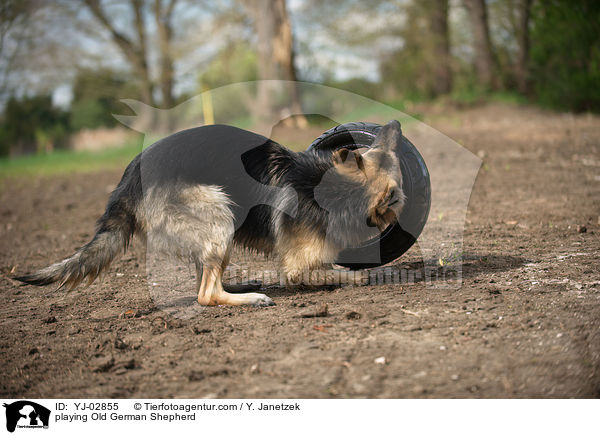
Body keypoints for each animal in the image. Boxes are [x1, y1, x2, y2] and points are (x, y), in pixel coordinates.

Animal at [15, 119, 408, 306]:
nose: (395, 126)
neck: (328, 188)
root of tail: (127, 183)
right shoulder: (297, 268)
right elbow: (349, 274)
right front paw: (371, 275)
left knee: (204, 278)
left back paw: (240, 284)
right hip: (219, 211)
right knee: (206, 294)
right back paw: (249, 298)